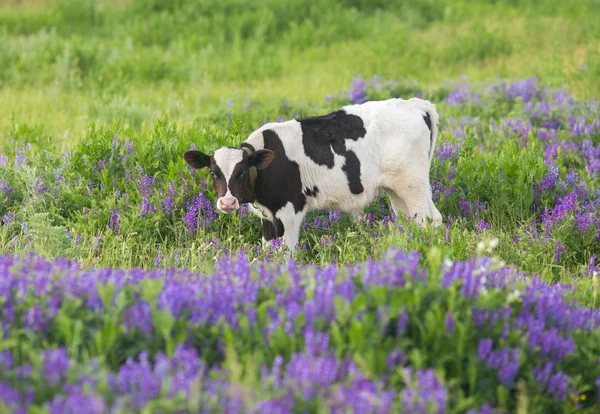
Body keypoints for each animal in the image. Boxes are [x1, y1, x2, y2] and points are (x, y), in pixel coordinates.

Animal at [185, 98, 442, 251]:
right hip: (398, 190)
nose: (227, 202)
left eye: (242, 173)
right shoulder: (268, 216)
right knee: (417, 221)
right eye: (214, 173)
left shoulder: (290, 210)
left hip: (412, 186)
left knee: (427, 221)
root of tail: (415, 104)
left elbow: (287, 251)